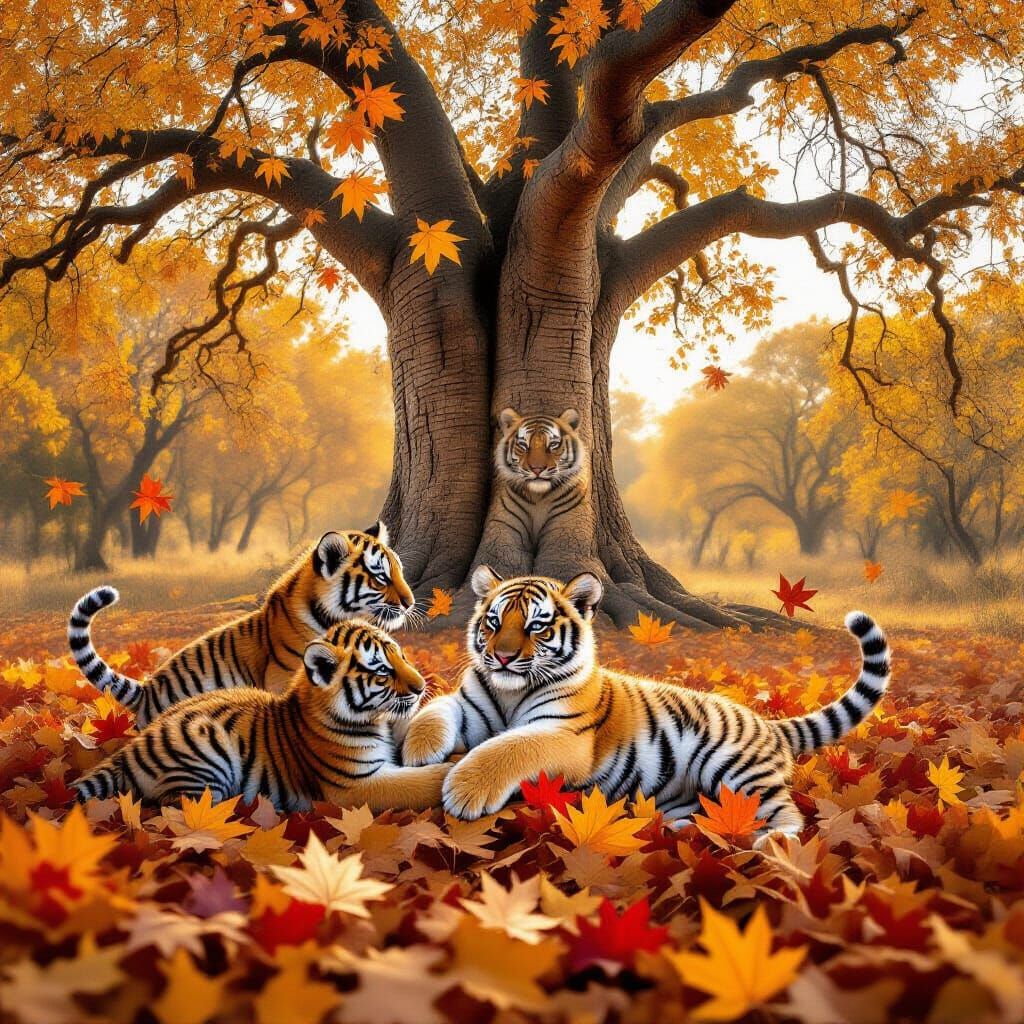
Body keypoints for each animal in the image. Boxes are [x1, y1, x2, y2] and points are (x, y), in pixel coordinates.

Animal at [72, 619, 451, 812]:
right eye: (383, 671)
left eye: (402, 655)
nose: (422, 686)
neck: (379, 720)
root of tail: (131, 747)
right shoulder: (355, 786)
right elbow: (419, 782)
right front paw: (450, 774)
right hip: (206, 750)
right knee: (173, 805)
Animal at [401, 566, 891, 842]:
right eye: (493, 621)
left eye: (537, 626)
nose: (501, 656)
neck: (510, 691)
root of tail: (767, 723)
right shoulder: (471, 704)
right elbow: (438, 708)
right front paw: (417, 748)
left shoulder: (563, 735)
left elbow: (509, 747)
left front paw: (465, 791)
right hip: (681, 793)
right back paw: (683, 832)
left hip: (735, 769)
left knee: (786, 815)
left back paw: (768, 845)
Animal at [491, 408, 588, 552]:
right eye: (523, 445)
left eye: (553, 444)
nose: (537, 469)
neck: (538, 498)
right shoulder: (506, 523)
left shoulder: (565, 523)